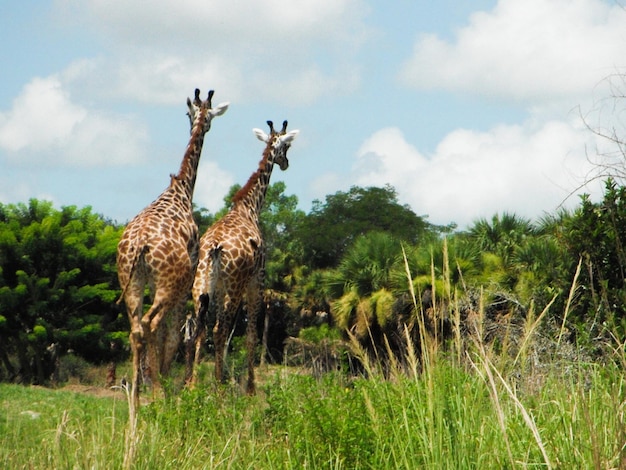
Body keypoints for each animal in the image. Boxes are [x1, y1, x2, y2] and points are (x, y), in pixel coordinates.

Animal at [116, 89, 228, 412]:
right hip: (167, 284)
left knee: (136, 327)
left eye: (192, 114)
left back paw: (137, 396)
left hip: (132, 280)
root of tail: (140, 245)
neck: (182, 189)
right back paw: (156, 393)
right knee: (151, 324)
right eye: (207, 118)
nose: (201, 125)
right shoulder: (186, 278)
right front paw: (168, 388)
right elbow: (174, 336)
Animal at [185, 118, 298, 392]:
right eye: (286, 146)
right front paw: (250, 388)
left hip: (201, 285)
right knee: (219, 329)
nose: (286, 163)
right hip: (235, 285)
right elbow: (251, 335)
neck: (249, 206)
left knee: (198, 330)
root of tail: (213, 248)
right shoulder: (258, 278)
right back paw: (218, 387)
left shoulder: (219, 287)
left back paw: (191, 387)